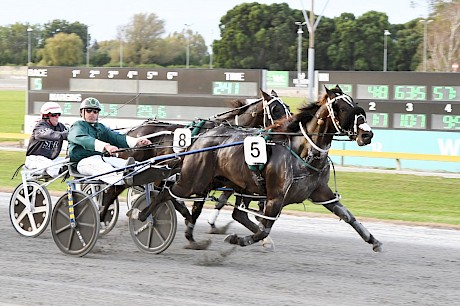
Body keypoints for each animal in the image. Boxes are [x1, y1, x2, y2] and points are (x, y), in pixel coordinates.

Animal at [127, 85, 382, 252]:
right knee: (164, 193)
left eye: (355, 104)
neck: (302, 151)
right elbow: (263, 228)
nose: (367, 134)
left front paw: (373, 240)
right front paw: (237, 239)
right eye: (341, 108)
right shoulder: (275, 196)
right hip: (192, 180)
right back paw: (144, 215)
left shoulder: (320, 192)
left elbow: (347, 215)